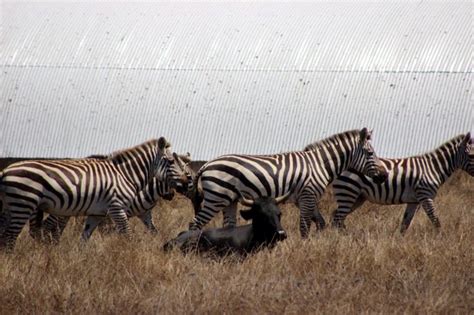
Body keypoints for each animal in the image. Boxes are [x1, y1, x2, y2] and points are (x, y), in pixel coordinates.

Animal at [1, 137, 193, 251]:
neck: (125, 174)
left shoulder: (98, 214)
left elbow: (84, 239)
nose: (186, 182)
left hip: (12, 207)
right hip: (25, 204)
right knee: (13, 237)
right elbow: (127, 235)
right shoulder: (117, 209)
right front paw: (129, 255)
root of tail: (5, 171)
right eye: (170, 162)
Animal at [189, 128, 388, 237]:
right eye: (370, 153)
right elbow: (304, 227)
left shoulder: (306, 198)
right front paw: (304, 248)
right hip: (216, 197)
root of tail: (206, 164)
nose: (385, 175)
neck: (319, 164)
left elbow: (320, 222)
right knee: (194, 224)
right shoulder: (308, 195)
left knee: (227, 226)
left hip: (229, 200)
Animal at [332, 132, 472, 233]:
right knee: (337, 218)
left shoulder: (414, 201)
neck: (433, 168)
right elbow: (435, 220)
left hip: (357, 197)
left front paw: (399, 242)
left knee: (336, 217)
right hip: (348, 193)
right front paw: (440, 238)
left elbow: (405, 224)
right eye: (472, 155)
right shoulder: (425, 196)